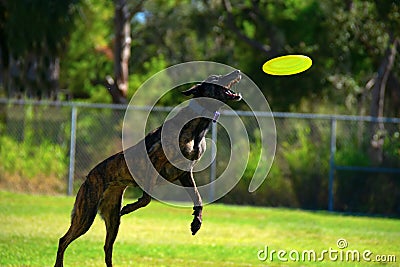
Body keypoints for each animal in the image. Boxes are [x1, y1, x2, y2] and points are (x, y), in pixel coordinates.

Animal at [54, 70, 242, 266]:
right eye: (215, 78)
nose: (237, 72)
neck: (197, 126)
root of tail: (88, 177)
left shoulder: (185, 173)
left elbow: (198, 198)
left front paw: (196, 222)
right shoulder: (154, 162)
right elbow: (146, 199)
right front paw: (129, 207)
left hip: (112, 220)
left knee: (107, 248)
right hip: (86, 215)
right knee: (63, 240)